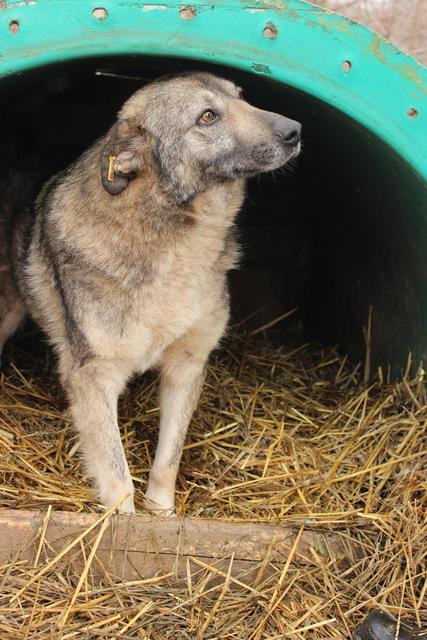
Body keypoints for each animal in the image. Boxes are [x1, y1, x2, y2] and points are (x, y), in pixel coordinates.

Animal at [0, 72, 300, 516]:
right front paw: (125, 521)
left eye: (244, 98)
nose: (295, 130)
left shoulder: (187, 365)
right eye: (207, 116)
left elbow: (166, 461)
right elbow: (118, 475)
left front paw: (163, 513)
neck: (174, 245)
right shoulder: (93, 377)